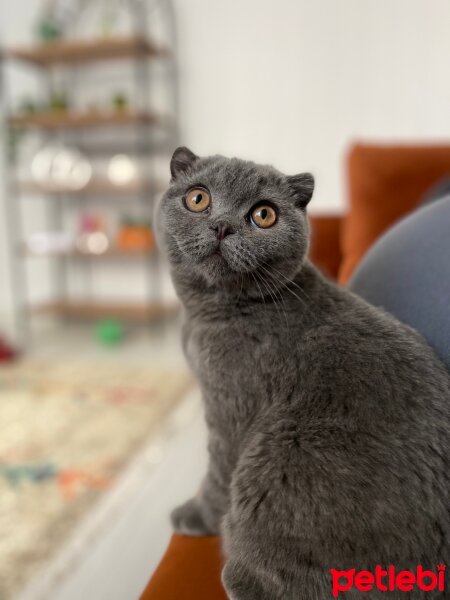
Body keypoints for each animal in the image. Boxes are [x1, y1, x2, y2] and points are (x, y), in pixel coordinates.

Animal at [156, 146, 450, 600]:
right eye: (198, 198)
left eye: (263, 215)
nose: (222, 226)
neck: (210, 312)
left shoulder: (229, 410)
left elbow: (217, 475)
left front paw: (193, 517)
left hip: (276, 463)